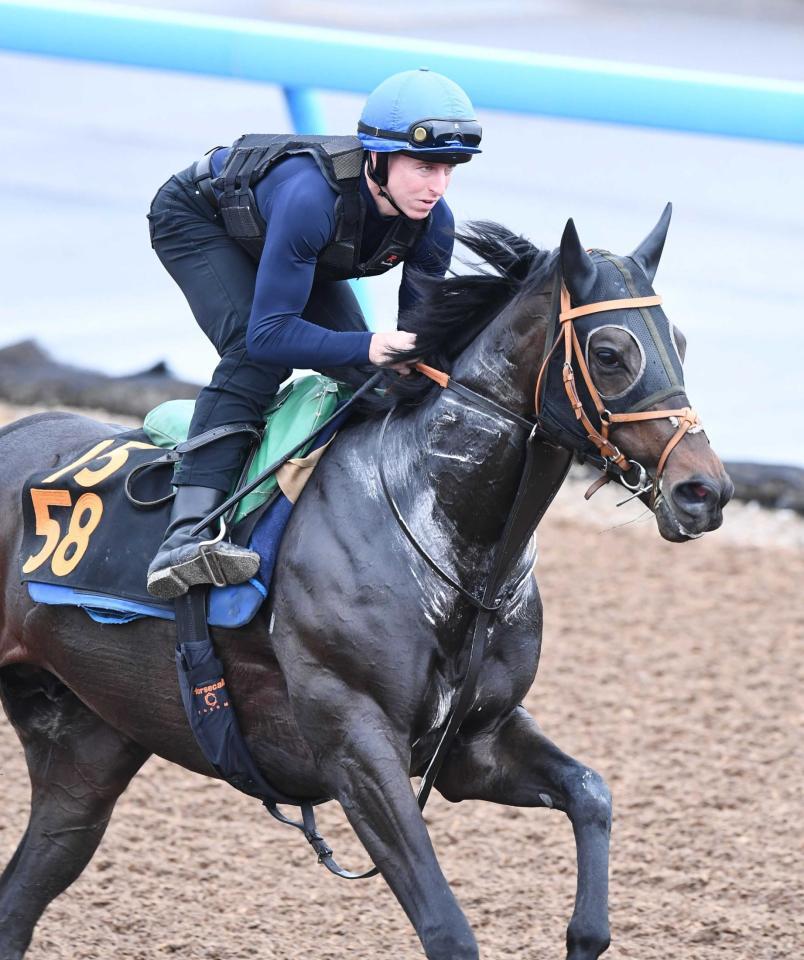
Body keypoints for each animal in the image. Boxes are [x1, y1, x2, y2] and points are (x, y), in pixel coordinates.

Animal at [0, 212, 732, 960]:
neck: (439, 530)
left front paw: (585, 933)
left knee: (24, 894)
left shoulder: (473, 744)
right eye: (611, 353)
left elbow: (591, 792)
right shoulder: (356, 742)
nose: (704, 491)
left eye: (678, 343)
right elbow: (447, 928)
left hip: (85, 746)